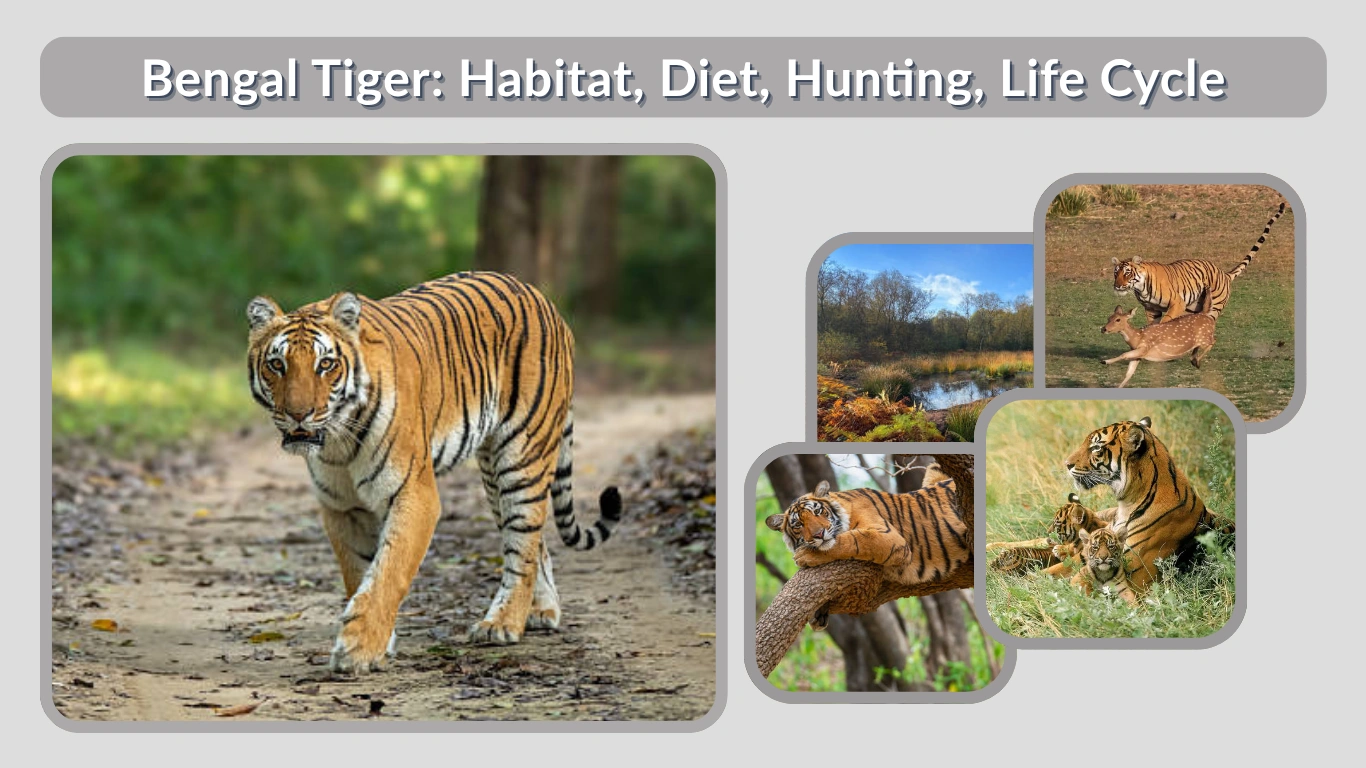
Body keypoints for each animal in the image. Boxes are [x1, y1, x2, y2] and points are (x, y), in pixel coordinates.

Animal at [245, 271, 622, 673]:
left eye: (326, 365)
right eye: (277, 365)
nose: (298, 414)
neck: (338, 441)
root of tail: (542, 298)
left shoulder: (414, 493)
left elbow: (389, 571)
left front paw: (358, 648)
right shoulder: (343, 508)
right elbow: (360, 572)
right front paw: (379, 642)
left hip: (522, 455)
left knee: (523, 544)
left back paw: (502, 624)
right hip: (493, 474)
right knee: (535, 541)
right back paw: (540, 610)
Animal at [764, 472, 970, 588]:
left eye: (818, 511)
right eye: (798, 525)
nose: (819, 534)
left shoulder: (891, 538)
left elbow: (852, 541)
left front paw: (805, 555)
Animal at [1112, 201, 1285, 324]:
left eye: (1127, 272)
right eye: (1116, 273)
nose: (1117, 286)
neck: (1141, 288)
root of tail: (1225, 274)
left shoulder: (1177, 303)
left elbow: (1165, 323)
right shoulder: (1151, 310)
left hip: (1213, 306)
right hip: (1194, 307)